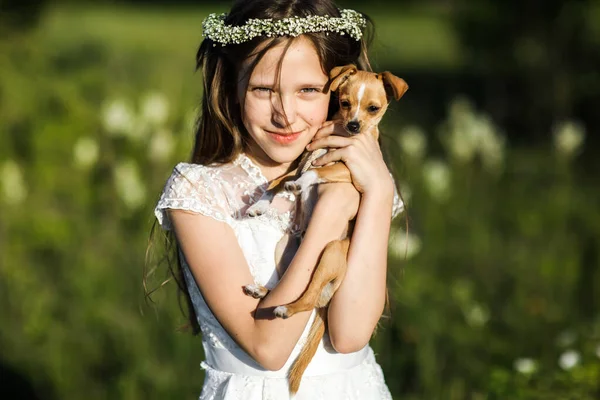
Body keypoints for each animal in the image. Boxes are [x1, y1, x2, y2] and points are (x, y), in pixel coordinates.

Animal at [244, 64, 408, 392]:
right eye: (344, 103)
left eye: (374, 108)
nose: (354, 125)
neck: (338, 137)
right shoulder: (299, 162)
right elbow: (276, 182)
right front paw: (260, 204)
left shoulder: (347, 171)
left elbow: (318, 171)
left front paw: (303, 183)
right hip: (288, 250)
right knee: (287, 286)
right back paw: (262, 291)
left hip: (329, 252)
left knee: (306, 298)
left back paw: (285, 309)